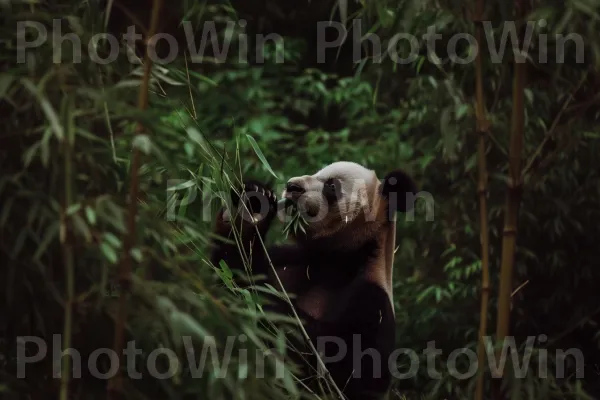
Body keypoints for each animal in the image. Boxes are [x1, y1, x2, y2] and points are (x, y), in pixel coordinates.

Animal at [211, 162, 418, 400]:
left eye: (331, 186)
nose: (292, 186)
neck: (340, 259)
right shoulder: (290, 258)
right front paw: (255, 201)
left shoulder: (371, 301)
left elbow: (327, 362)